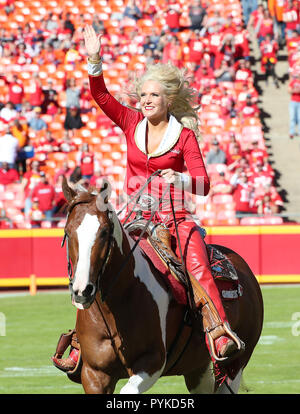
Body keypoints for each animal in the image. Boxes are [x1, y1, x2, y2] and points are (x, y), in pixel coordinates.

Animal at [62, 178, 264, 394]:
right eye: (67, 231)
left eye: (104, 232)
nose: (83, 291)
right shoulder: (94, 374)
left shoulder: (152, 363)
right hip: (196, 367)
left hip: (236, 364)